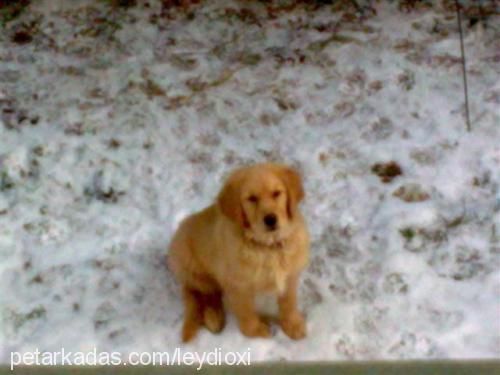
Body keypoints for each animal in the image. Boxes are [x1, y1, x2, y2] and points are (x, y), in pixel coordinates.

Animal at [168, 163, 308, 342]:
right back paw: (213, 316)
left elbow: (289, 303)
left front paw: (292, 325)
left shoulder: (290, 276)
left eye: (276, 193)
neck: (267, 246)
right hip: (194, 268)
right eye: (252, 198)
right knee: (203, 293)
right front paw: (256, 331)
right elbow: (246, 313)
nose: (271, 219)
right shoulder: (237, 286)